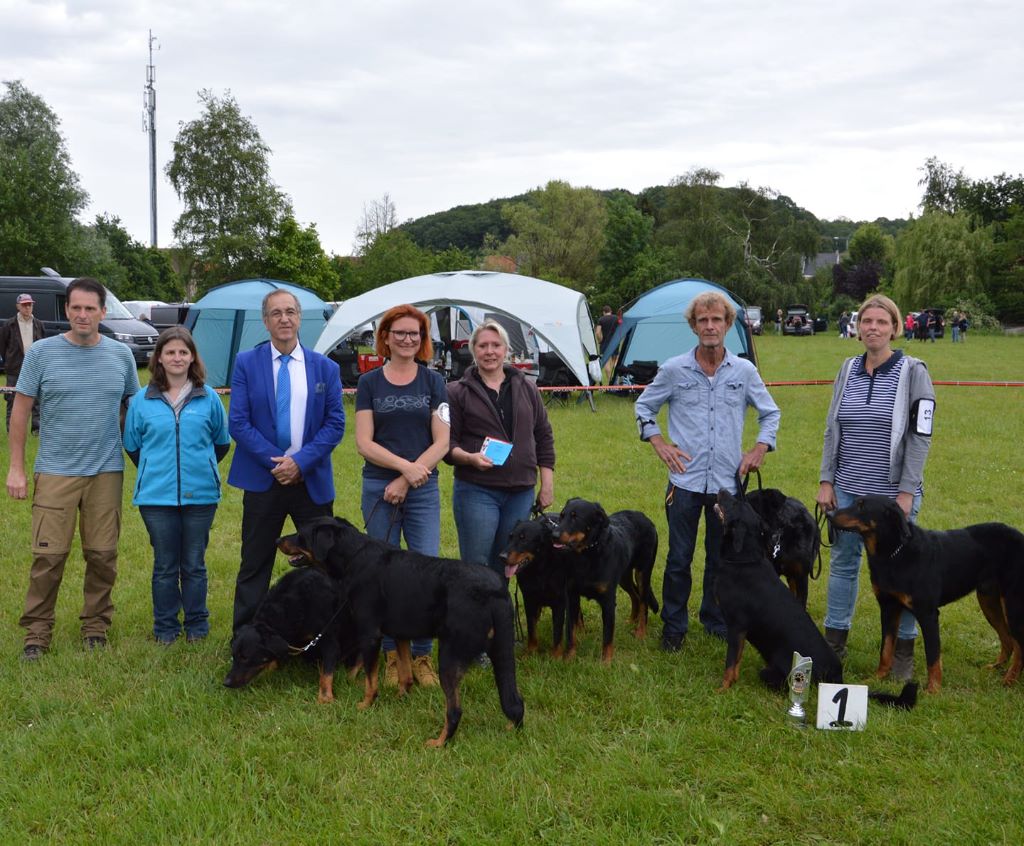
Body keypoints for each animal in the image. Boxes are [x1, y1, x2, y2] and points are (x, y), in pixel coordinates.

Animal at [278, 514, 524, 745]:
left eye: (300, 534)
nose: (278, 540)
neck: (353, 556)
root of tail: (496, 591)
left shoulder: (370, 633)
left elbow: (370, 679)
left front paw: (365, 704)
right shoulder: (401, 634)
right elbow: (404, 673)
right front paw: (401, 698)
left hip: (450, 654)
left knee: (454, 710)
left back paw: (438, 742)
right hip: (501, 650)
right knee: (515, 702)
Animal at [552, 493, 655, 667]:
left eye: (576, 517)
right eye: (562, 515)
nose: (554, 535)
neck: (587, 555)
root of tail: (645, 517)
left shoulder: (607, 601)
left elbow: (607, 636)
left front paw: (606, 663)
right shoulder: (571, 596)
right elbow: (570, 632)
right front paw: (569, 658)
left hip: (643, 572)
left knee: (643, 602)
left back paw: (641, 632)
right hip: (624, 576)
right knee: (635, 596)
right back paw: (631, 621)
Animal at [712, 491, 921, 708]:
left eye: (733, 504)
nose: (722, 491)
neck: (743, 560)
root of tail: (837, 681)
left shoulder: (737, 627)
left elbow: (731, 663)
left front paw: (723, 689)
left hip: (774, 672)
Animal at [827, 493, 1024, 692]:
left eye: (862, 506)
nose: (829, 513)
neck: (893, 553)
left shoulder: (928, 613)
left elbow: (933, 655)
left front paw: (933, 689)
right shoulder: (888, 607)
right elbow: (886, 648)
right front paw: (877, 678)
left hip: (1012, 605)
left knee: (1019, 645)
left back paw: (1009, 680)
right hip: (988, 600)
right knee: (1008, 640)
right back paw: (996, 668)